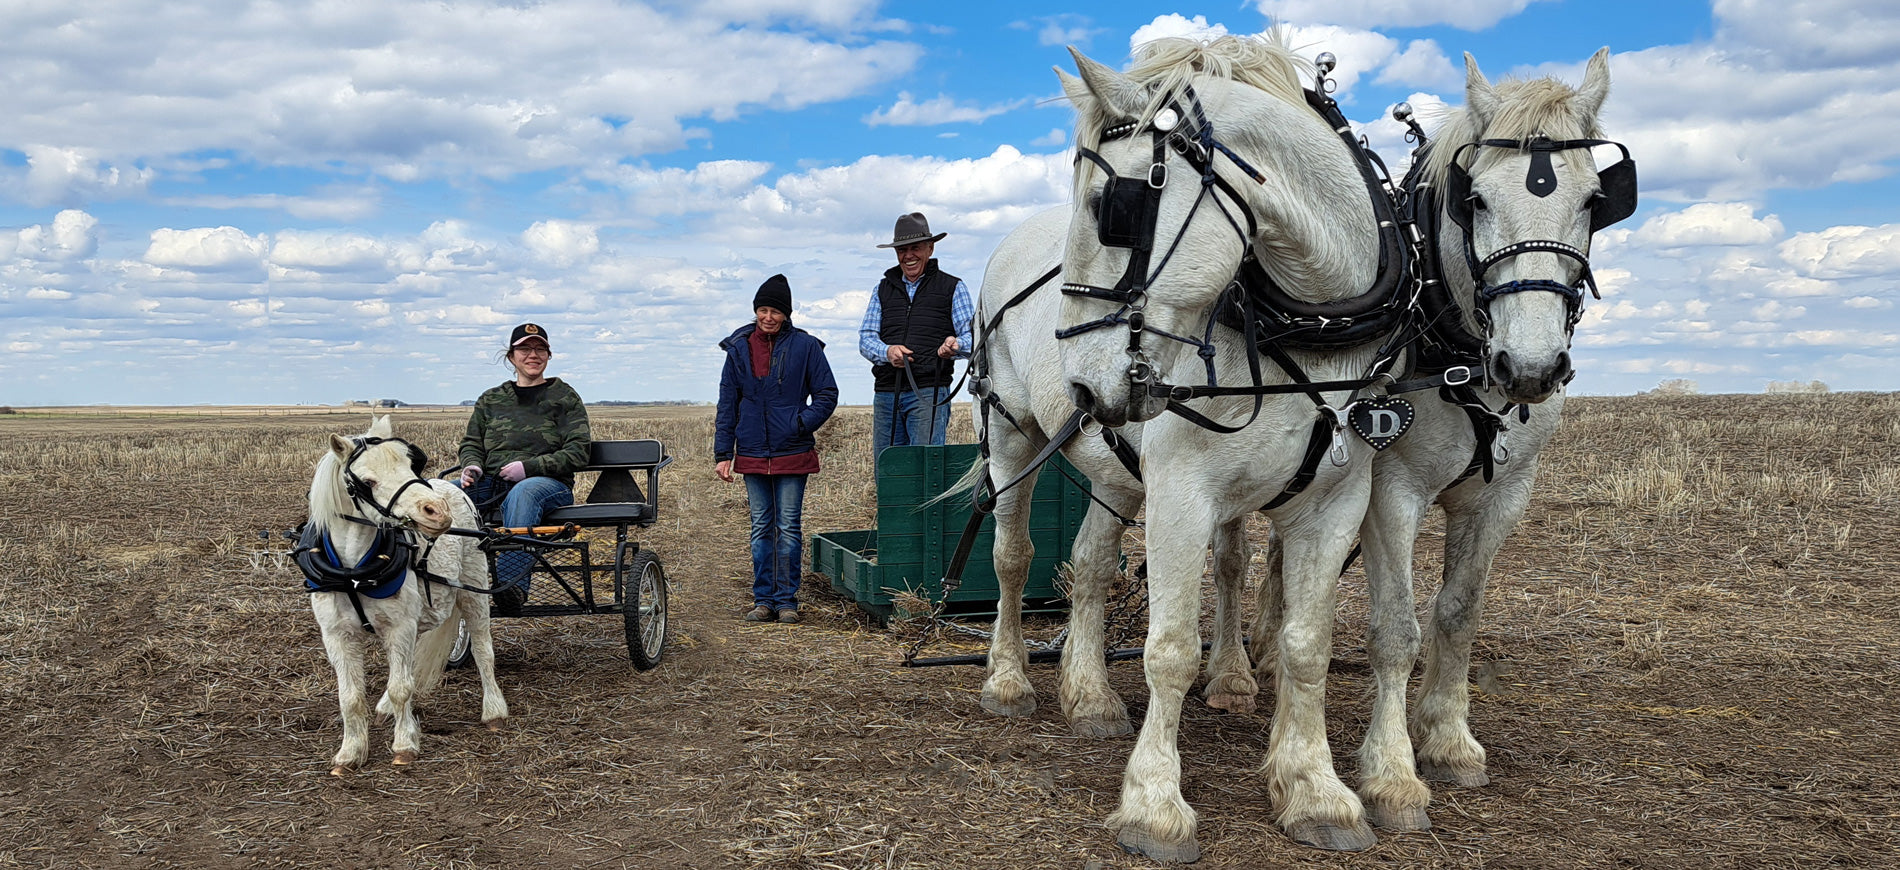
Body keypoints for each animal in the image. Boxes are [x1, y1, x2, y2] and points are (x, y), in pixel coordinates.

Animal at [300, 414, 505, 775]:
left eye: (410, 466)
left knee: (483, 649)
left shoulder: (399, 627)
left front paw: (405, 744)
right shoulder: (337, 634)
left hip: (474, 592)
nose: (436, 511)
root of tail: (456, 488)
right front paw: (350, 752)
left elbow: (401, 688)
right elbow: (350, 696)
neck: (354, 572)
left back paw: (493, 710)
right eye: (368, 481)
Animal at [1056, 35, 1428, 854]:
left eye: (1110, 208)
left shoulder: (1336, 502)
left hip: (1117, 482)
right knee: (1012, 558)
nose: (1081, 390)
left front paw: (1316, 790)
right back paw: (1010, 679)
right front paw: (1155, 805)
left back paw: (1088, 691)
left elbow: (1307, 644)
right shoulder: (1179, 496)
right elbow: (1166, 649)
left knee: (1092, 565)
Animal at [1284, 51, 1641, 832]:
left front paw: (1446, 738)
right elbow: (1396, 628)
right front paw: (1391, 774)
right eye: (1472, 199)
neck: (1458, 351)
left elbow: (1457, 613)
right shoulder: (1390, 490)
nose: (1531, 368)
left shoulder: (1505, 496)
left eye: (1595, 200)